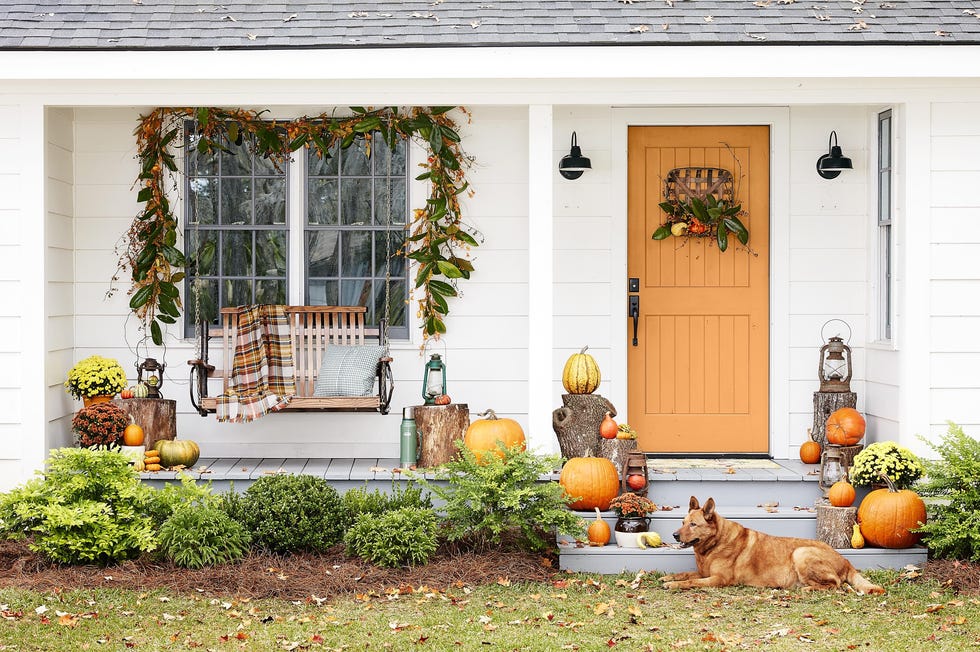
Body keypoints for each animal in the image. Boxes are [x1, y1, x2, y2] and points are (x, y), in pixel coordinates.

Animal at [664, 496, 884, 592]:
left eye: (693, 524)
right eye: (682, 522)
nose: (674, 535)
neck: (713, 545)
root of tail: (845, 560)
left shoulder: (719, 579)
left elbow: (690, 582)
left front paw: (673, 584)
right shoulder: (704, 573)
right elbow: (686, 574)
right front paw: (669, 577)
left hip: (801, 553)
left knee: (836, 584)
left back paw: (806, 589)